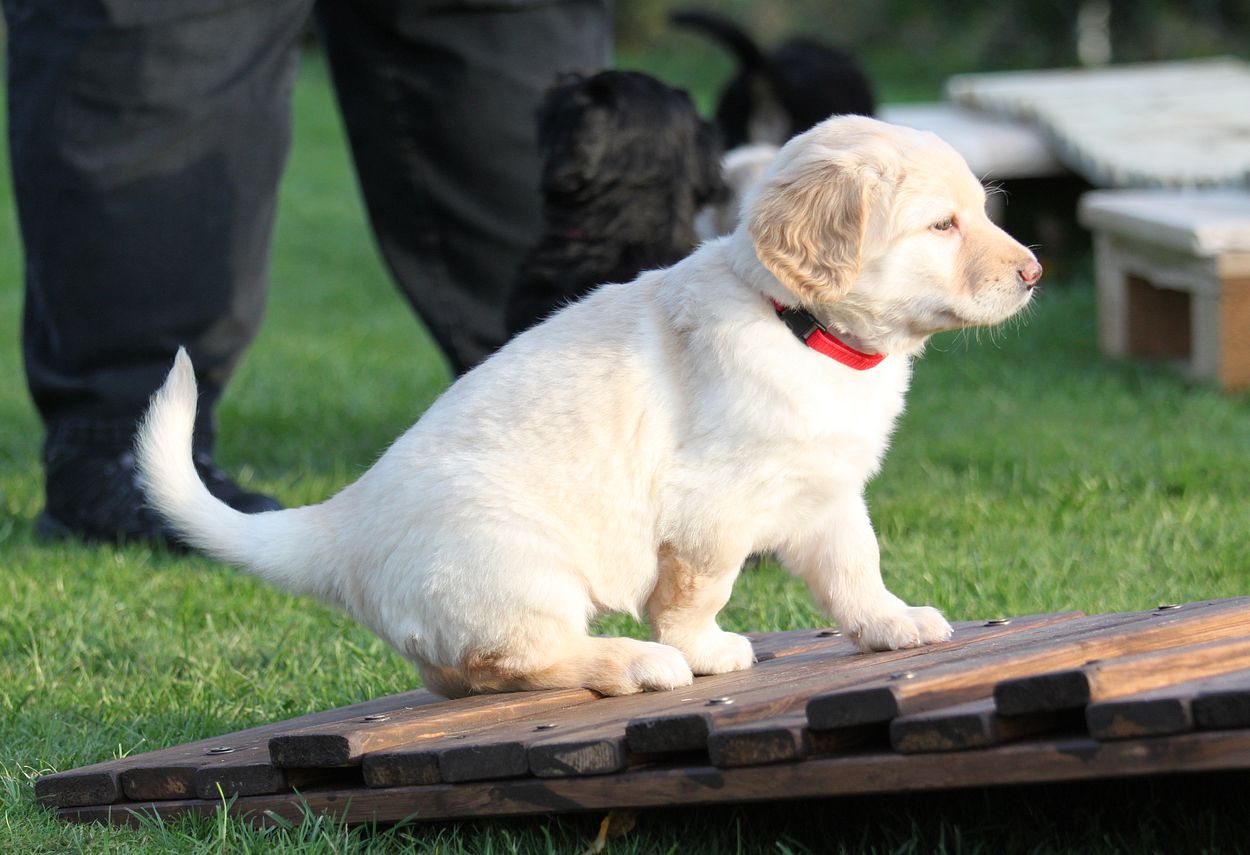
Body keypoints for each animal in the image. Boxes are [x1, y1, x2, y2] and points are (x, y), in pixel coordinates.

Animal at [137, 116, 1042, 699]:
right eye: (942, 225)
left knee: (457, 673)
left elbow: (856, 565)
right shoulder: (710, 508)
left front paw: (892, 622)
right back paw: (633, 663)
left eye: (979, 210)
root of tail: (340, 524)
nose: (1034, 272)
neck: (798, 325)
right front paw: (701, 648)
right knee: (521, 661)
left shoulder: (825, 490)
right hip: (517, 564)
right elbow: (696, 594)